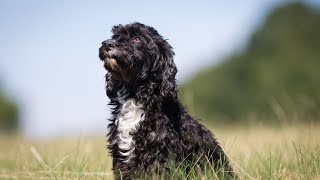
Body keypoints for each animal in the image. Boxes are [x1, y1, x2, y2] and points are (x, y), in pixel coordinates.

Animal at [99, 22, 234, 179]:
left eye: (136, 38)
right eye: (116, 36)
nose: (107, 43)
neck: (135, 98)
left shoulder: (160, 159)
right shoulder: (121, 158)